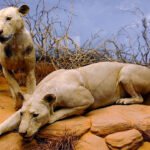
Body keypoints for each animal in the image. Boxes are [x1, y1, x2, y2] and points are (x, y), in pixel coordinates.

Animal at [0, 61, 149, 137]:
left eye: (35, 115)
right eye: (22, 114)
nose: (22, 133)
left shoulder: (87, 99)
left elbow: (63, 112)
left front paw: (50, 117)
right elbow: (8, 122)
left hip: (126, 72)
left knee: (140, 98)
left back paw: (124, 100)